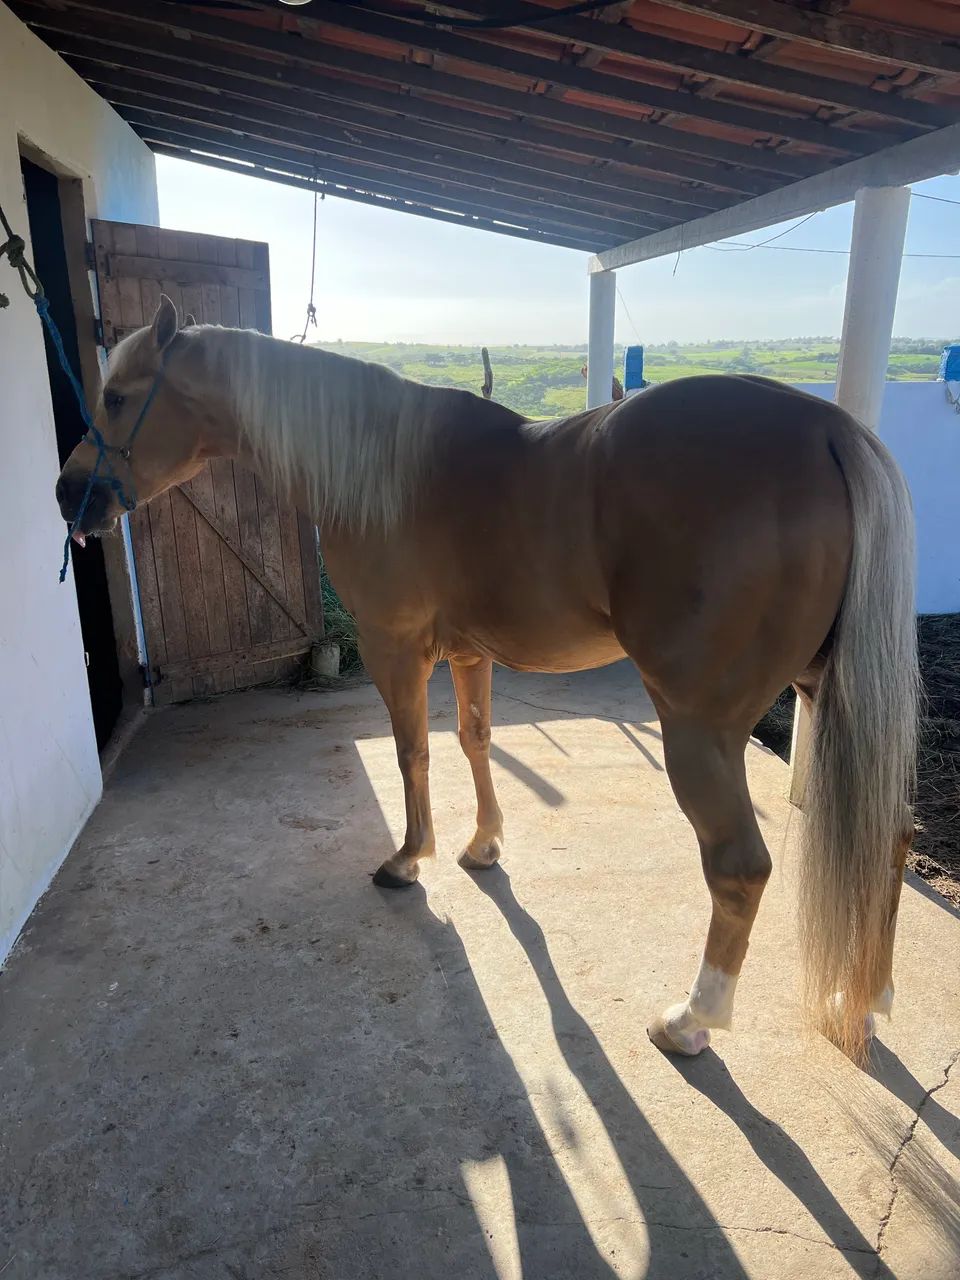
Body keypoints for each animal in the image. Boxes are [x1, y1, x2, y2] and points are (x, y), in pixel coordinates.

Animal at [56, 298, 918, 1064]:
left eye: (119, 397)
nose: (71, 495)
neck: (384, 465)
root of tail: (826, 428)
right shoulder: (469, 655)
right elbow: (473, 741)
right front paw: (482, 845)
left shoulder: (395, 648)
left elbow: (412, 753)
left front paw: (410, 858)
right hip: (827, 695)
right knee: (891, 833)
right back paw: (863, 1001)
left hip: (698, 725)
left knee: (739, 866)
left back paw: (691, 1021)